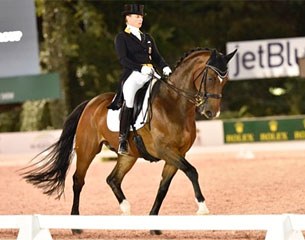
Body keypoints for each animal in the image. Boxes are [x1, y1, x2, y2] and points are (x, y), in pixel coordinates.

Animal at [22, 47, 236, 235]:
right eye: (210, 78)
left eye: (225, 82)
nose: (212, 112)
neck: (173, 104)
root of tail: (90, 103)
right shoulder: (165, 150)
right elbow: (192, 171)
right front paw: (202, 208)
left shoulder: (177, 154)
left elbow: (163, 187)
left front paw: (153, 225)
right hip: (87, 150)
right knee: (78, 181)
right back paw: (76, 225)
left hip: (128, 155)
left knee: (113, 179)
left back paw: (125, 209)